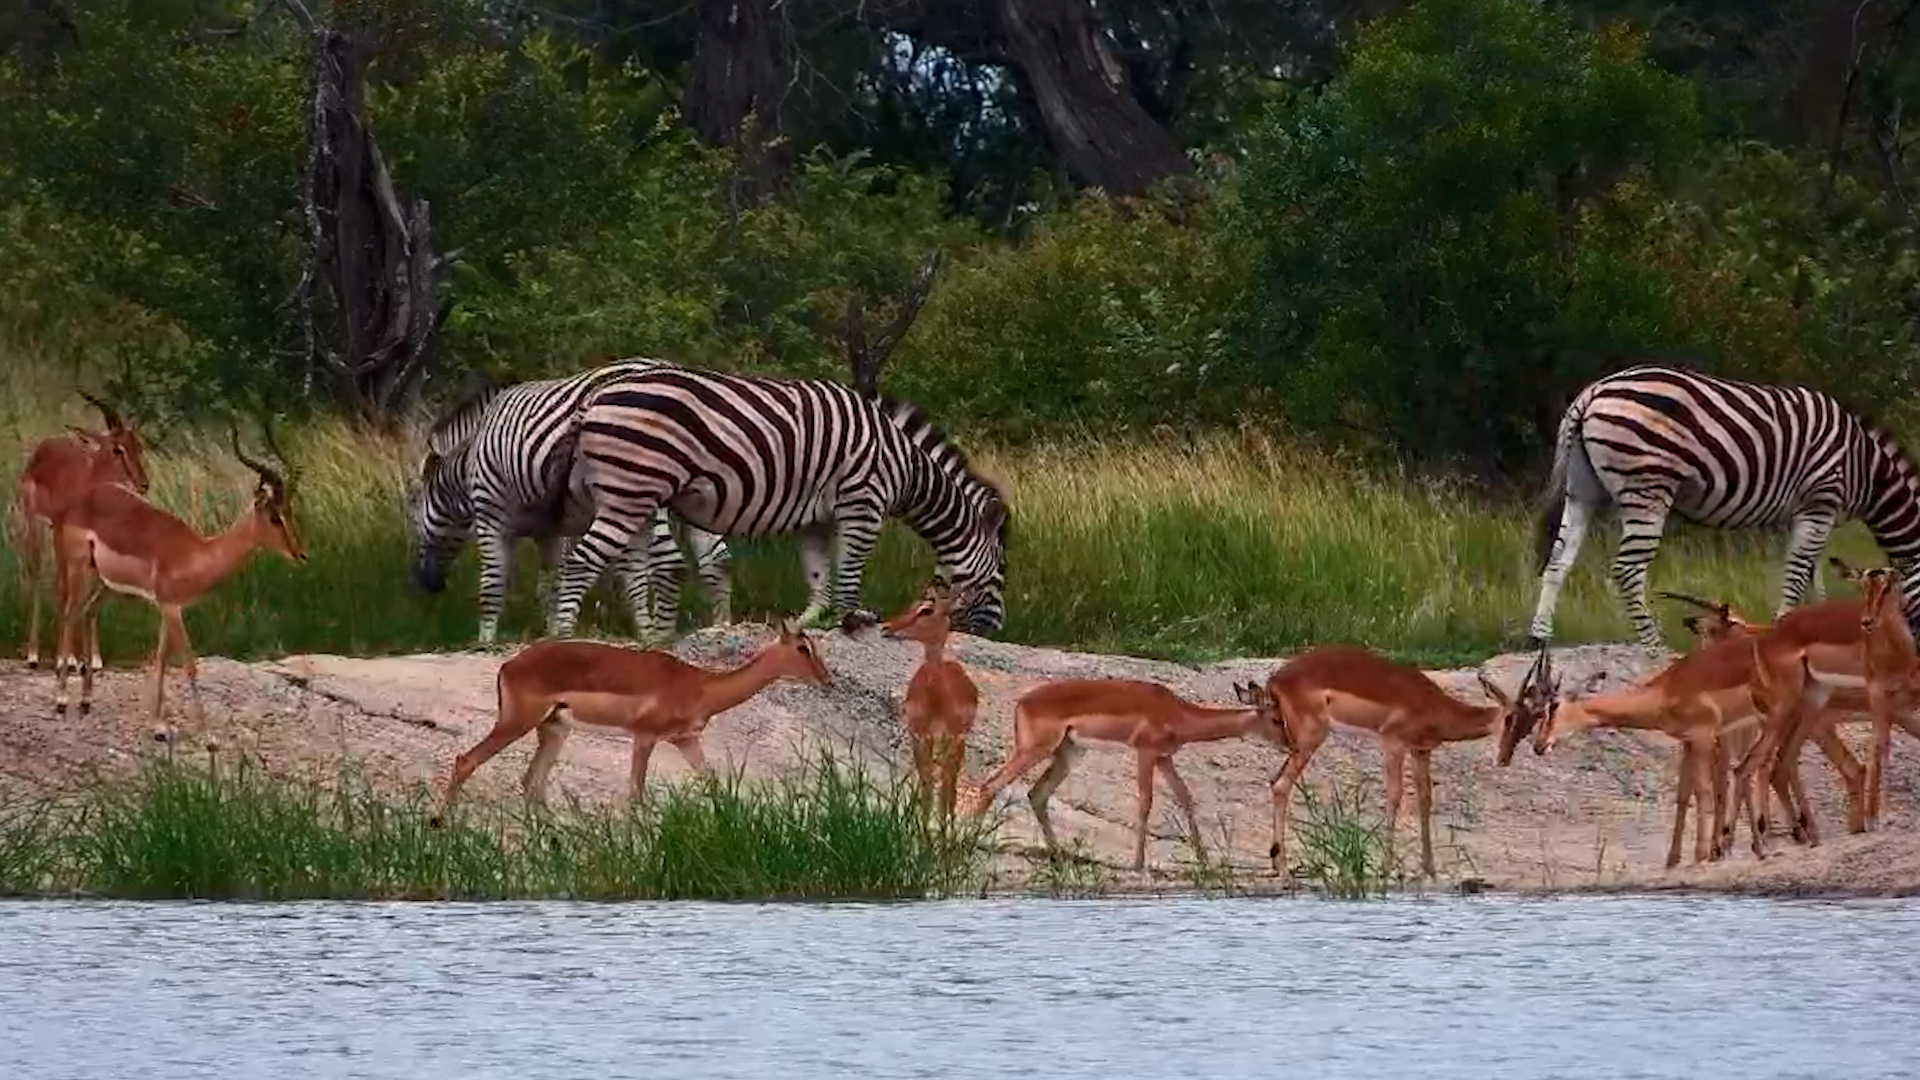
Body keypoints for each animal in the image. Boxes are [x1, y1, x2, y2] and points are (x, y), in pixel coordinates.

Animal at [405, 361, 734, 645]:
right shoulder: (550, 529)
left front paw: (486, 641)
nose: (427, 583)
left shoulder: (491, 513)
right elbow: (551, 584)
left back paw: (661, 638)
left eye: (415, 517)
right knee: (715, 559)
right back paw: (720, 629)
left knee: (670, 564)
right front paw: (553, 635)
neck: (471, 456)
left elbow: (492, 585)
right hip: (701, 498)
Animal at [545, 365, 1011, 641]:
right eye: (1002, 571)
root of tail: (594, 396)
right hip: (631, 491)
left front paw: (801, 626)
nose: (994, 631)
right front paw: (851, 621)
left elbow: (819, 579)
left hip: (630, 496)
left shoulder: (815, 522)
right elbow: (849, 572)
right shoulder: (862, 503)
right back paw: (563, 638)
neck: (904, 465)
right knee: (581, 561)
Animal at [1528, 363, 1920, 654]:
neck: (1866, 469)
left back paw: (1539, 636)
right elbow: (1797, 574)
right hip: (1648, 487)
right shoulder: (1819, 502)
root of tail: (1592, 392)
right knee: (1627, 570)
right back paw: (1656, 646)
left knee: (1559, 559)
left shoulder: (1806, 513)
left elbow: (1812, 576)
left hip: (1583, 489)